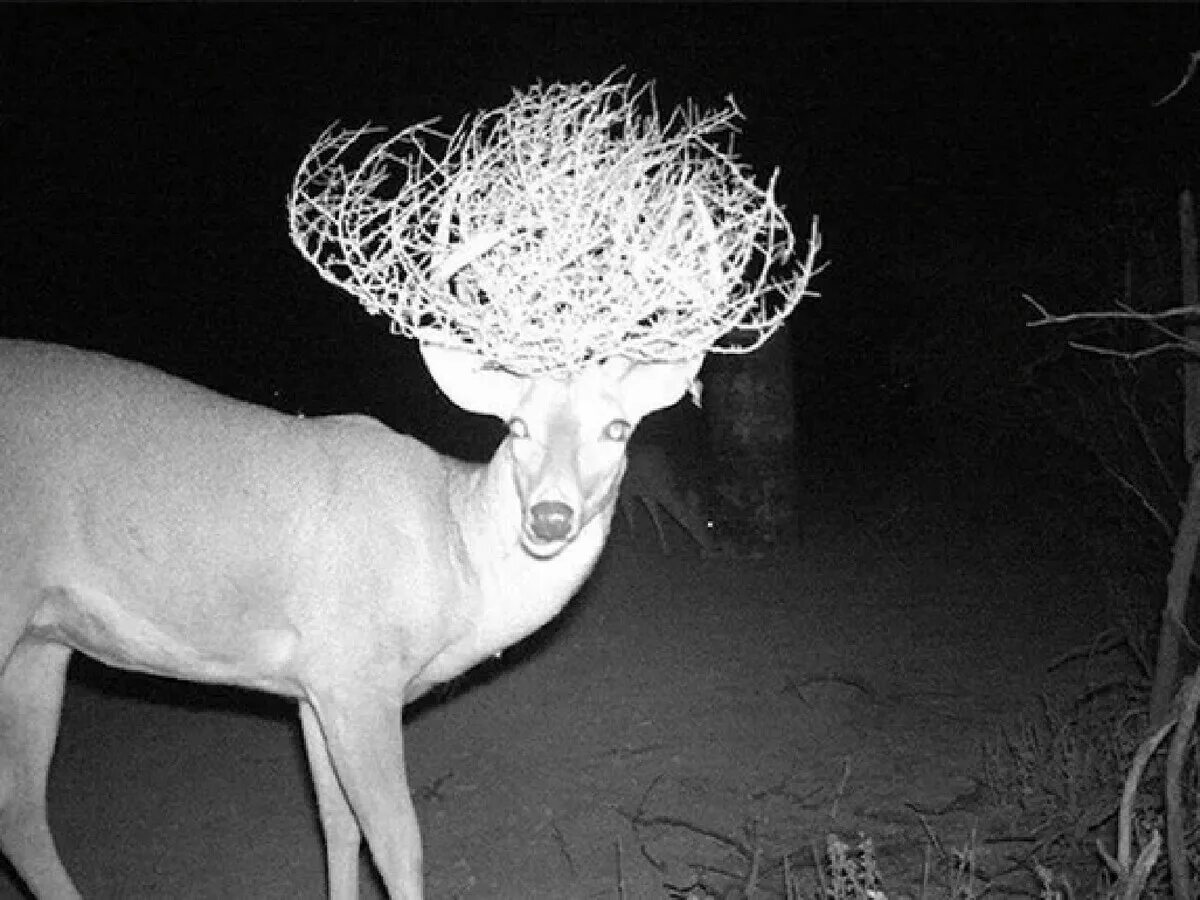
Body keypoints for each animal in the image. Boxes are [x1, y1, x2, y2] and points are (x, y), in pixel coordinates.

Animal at [0, 338, 700, 900]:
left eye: (617, 428)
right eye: (517, 427)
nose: (550, 516)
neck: (458, 569)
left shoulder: (314, 685)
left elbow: (337, 827)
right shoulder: (357, 674)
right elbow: (397, 842)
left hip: (42, 641)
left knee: (21, 812)